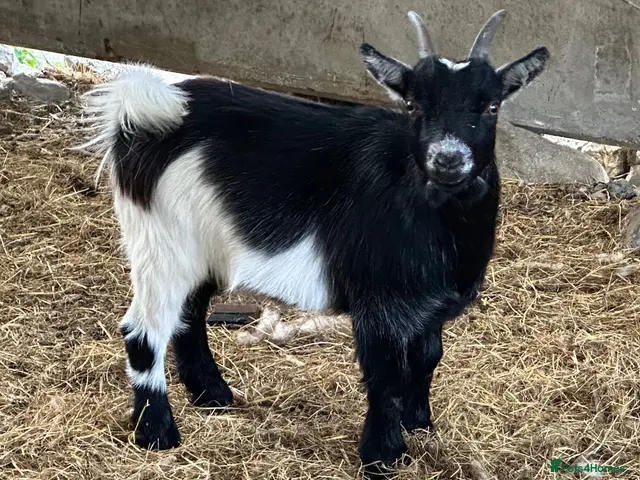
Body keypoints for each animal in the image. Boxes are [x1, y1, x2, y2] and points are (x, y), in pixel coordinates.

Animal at [78, 9, 549, 477]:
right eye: (413, 105)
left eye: (492, 106)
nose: (448, 160)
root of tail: (146, 111)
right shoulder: (379, 303)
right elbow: (386, 375)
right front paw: (382, 455)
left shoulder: (428, 307)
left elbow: (428, 356)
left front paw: (419, 425)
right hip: (161, 245)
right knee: (143, 330)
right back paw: (157, 432)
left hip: (204, 250)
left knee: (188, 317)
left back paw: (212, 396)